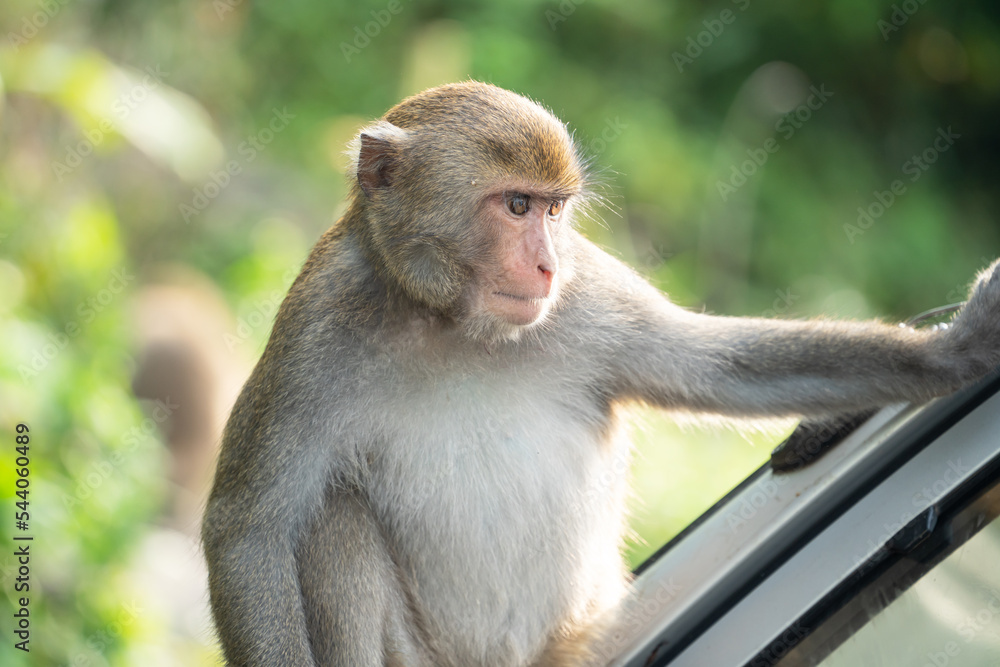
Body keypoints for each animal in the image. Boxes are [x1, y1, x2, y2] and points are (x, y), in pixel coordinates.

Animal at [201, 81, 1000, 664]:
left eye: (555, 212)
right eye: (516, 205)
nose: (546, 263)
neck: (454, 324)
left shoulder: (585, 292)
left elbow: (716, 365)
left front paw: (956, 351)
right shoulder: (318, 329)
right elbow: (250, 530)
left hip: (573, 637)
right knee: (331, 516)